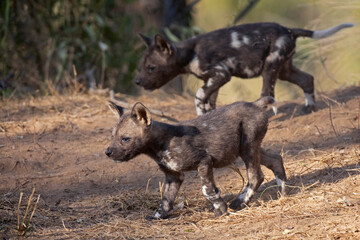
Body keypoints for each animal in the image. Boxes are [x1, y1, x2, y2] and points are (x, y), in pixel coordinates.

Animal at [105, 96, 286, 218]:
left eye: (125, 139)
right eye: (112, 136)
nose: (108, 152)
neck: (160, 144)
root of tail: (255, 103)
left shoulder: (204, 161)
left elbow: (208, 190)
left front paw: (221, 211)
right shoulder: (173, 176)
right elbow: (166, 200)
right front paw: (158, 217)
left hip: (247, 148)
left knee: (256, 176)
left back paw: (239, 203)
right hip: (248, 149)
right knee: (276, 159)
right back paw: (283, 192)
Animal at [135, 22, 352, 115]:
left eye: (151, 68)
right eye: (141, 67)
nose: (137, 81)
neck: (189, 54)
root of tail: (288, 29)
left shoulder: (221, 74)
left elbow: (198, 96)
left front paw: (201, 115)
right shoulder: (212, 80)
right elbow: (210, 101)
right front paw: (209, 118)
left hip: (270, 67)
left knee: (268, 93)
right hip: (284, 70)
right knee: (307, 79)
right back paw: (309, 108)